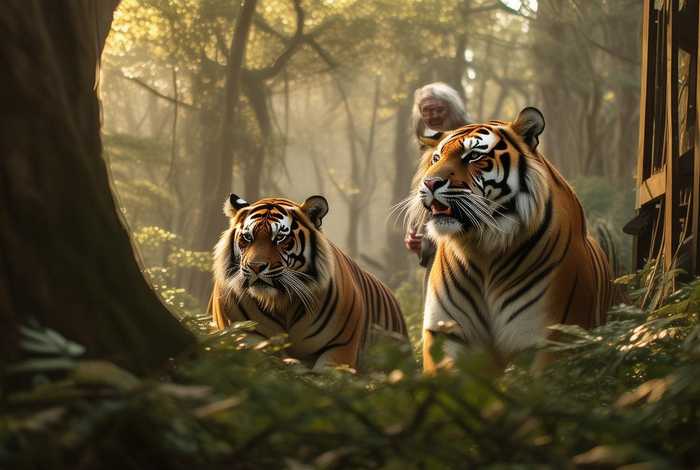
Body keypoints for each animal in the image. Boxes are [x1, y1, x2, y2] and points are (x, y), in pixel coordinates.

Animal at [209, 194, 408, 371]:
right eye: (247, 238)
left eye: (280, 238)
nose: (255, 267)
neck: (281, 302)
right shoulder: (247, 338)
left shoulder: (339, 349)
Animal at [403, 107, 612, 373]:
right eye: (436, 158)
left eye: (473, 156)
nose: (429, 183)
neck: (482, 250)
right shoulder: (448, 334)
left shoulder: (548, 336)